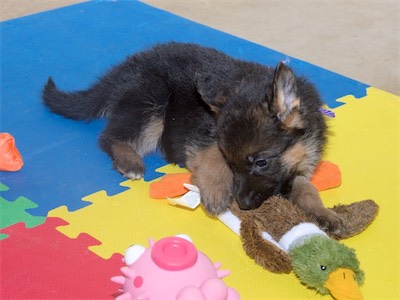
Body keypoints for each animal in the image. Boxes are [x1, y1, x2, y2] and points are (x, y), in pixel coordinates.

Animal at [43, 42, 344, 232]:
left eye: (261, 162)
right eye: (230, 163)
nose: (244, 205)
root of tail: (128, 66)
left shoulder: (293, 173)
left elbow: (307, 189)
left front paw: (323, 213)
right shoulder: (202, 137)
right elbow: (211, 157)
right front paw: (215, 190)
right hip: (153, 101)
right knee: (110, 136)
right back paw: (129, 161)